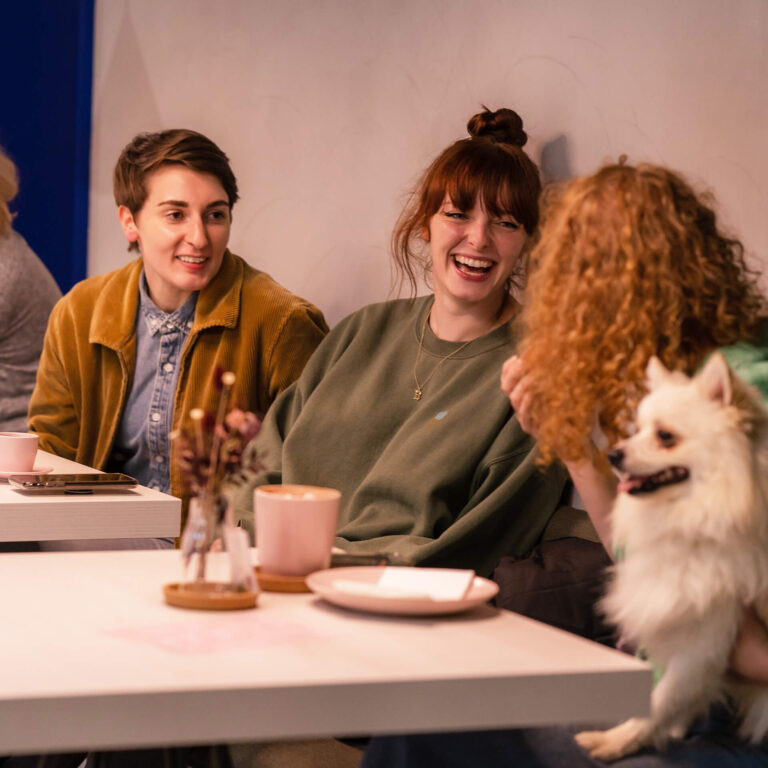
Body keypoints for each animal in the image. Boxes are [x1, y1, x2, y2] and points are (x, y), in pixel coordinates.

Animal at [572, 354, 768, 760]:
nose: (612, 453)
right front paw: (672, 728)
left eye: (665, 436)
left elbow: (660, 701)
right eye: (637, 429)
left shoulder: (706, 638)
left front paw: (616, 740)